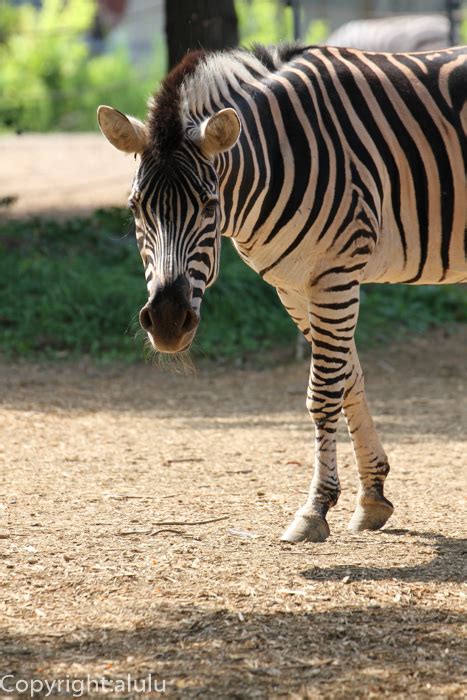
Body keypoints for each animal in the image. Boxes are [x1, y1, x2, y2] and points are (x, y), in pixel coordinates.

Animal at [97, 43, 466, 544]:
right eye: (136, 207)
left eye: (209, 204)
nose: (169, 322)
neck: (277, 155)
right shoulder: (294, 285)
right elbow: (351, 379)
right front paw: (372, 497)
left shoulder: (335, 273)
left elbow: (324, 392)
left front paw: (315, 509)